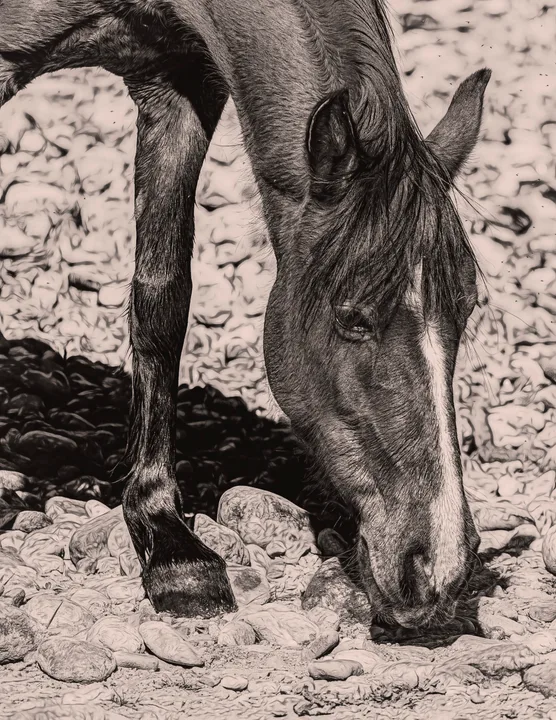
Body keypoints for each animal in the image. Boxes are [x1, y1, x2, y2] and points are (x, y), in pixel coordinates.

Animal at [0, 0, 490, 629]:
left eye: (466, 310)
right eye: (352, 318)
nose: (441, 567)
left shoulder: (178, 86)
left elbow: (162, 301)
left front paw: (169, 543)